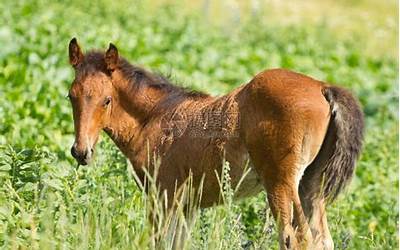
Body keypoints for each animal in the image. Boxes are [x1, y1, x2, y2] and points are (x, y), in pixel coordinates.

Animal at [68, 38, 362, 249]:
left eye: (106, 100)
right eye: (71, 96)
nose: (81, 152)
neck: (153, 119)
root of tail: (323, 87)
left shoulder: (160, 197)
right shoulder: (185, 204)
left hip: (282, 184)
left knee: (295, 237)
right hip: (311, 186)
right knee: (322, 239)